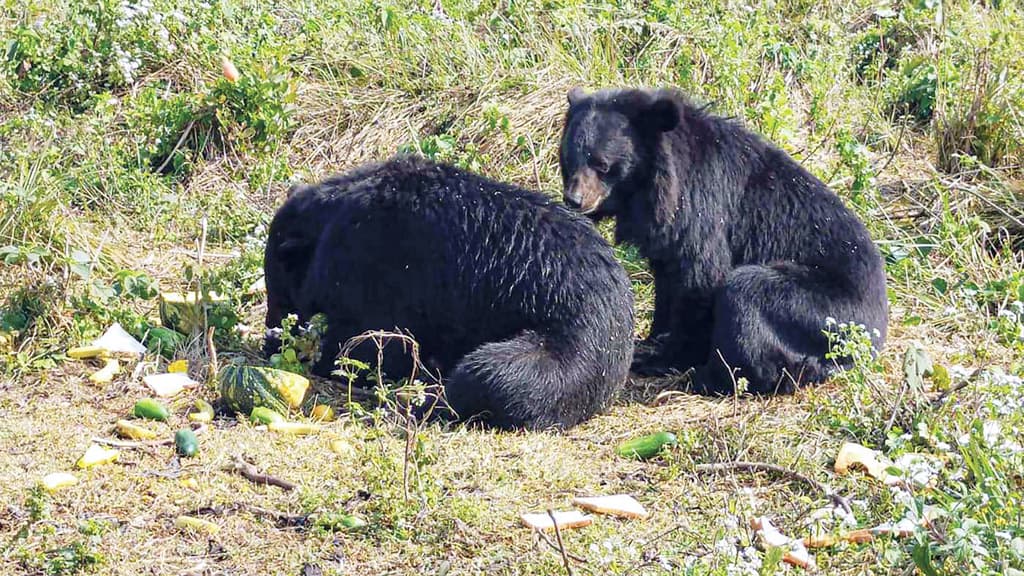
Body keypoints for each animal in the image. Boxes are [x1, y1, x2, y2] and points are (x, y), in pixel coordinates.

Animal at [262, 154, 630, 428]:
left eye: (277, 294)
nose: (269, 343)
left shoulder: (377, 269)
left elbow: (369, 348)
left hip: (570, 349)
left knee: (492, 376)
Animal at [561, 87, 888, 393]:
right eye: (568, 159)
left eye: (602, 165)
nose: (574, 200)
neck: (649, 188)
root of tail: (877, 330)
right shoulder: (667, 234)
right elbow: (667, 281)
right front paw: (651, 339)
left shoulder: (702, 207)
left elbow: (700, 277)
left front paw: (660, 357)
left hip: (822, 310)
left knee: (747, 292)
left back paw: (714, 378)